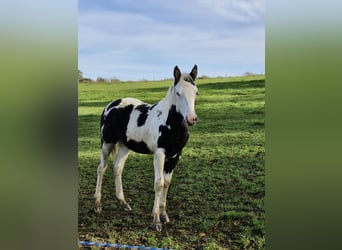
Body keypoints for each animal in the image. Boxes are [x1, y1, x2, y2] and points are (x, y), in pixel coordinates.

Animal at [95, 64, 199, 230]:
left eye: (196, 92)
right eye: (178, 93)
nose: (191, 119)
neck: (170, 123)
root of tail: (110, 105)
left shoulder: (175, 155)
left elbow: (167, 184)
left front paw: (164, 215)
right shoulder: (159, 154)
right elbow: (159, 184)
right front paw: (156, 220)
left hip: (125, 145)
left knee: (117, 167)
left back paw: (123, 203)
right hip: (107, 143)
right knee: (101, 168)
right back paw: (98, 204)